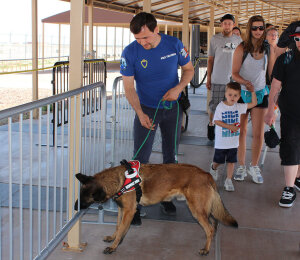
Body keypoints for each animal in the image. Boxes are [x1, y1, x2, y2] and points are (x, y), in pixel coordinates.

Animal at [75, 164, 239, 255]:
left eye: (84, 198)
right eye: (80, 195)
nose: (75, 207)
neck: (120, 179)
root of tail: (206, 174)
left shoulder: (129, 211)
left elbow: (122, 228)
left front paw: (113, 246)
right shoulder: (122, 209)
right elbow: (117, 226)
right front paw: (113, 238)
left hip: (196, 210)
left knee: (209, 228)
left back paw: (206, 249)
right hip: (203, 209)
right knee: (214, 222)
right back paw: (210, 240)